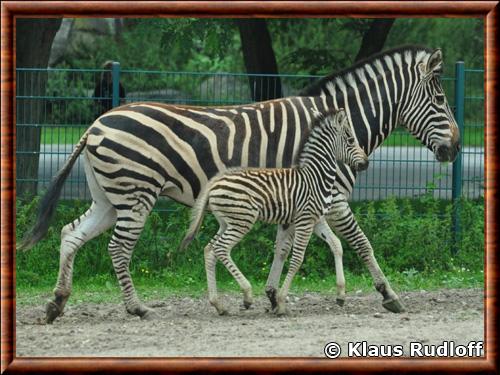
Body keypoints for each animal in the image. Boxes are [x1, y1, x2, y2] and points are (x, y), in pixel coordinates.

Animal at [182, 110, 370, 316]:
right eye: (351, 140)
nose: (366, 163)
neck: (315, 176)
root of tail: (214, 182)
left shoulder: (316, 220)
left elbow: (336, 245)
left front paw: (341, 293)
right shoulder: (305, 219)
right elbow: (297, 258)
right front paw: (280, 302)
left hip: (227, 222)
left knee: (209, 249)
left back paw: (218, 304)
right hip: (242, 221)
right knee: (221, 248)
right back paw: (247, 295)